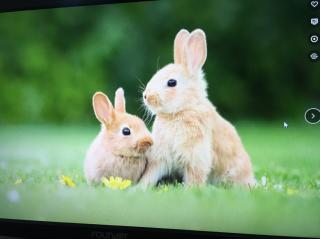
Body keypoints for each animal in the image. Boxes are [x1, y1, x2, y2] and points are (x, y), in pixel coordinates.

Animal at [139, 29, 255, 188]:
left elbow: (195, 177)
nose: (146, 96)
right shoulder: (160, 157)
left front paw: (190, 189)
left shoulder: (196, 157)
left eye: (172, 82)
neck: (182, 109)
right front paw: (137, 188)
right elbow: (150, 175)